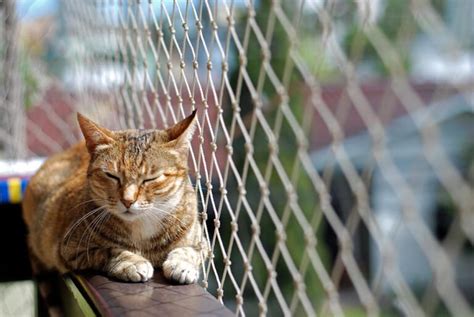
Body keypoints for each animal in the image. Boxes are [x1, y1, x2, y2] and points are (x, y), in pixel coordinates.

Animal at [22, 110, 204, 282]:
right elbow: (109, 250)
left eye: (150, 179)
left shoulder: (201, 242)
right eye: (112, 176)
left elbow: (191, 250)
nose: (128, 200)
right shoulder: (69, 249)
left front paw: (183, 264)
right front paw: (131, 261)